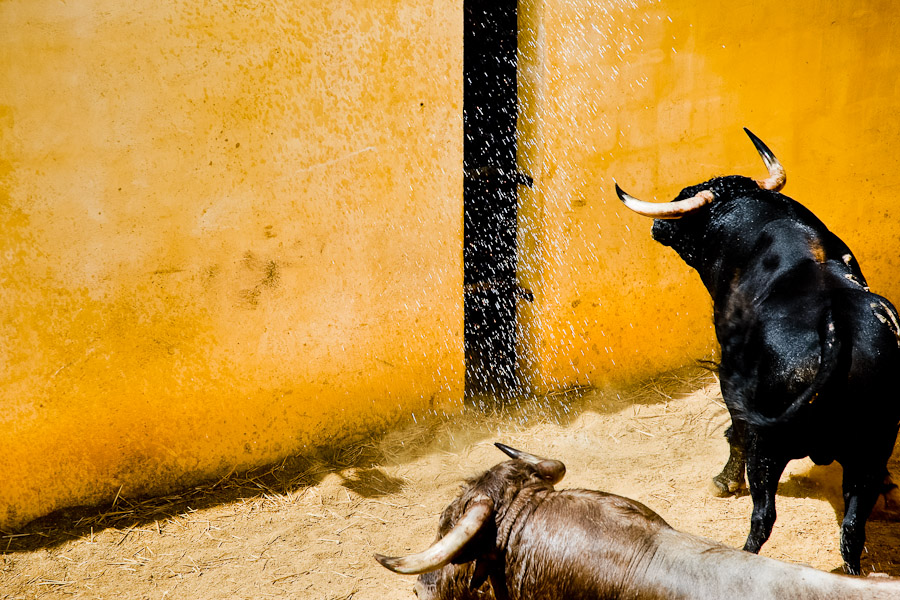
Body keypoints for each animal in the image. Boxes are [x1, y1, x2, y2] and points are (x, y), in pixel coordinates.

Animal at [616, 129, 900, 576]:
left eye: (686, 200)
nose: (660, 225)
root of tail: (835, 329)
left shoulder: (730, 369)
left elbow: (734, 430)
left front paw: (723, 482)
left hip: (768, 446)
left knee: (763, 515)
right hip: (869, 448)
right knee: (853, 530)